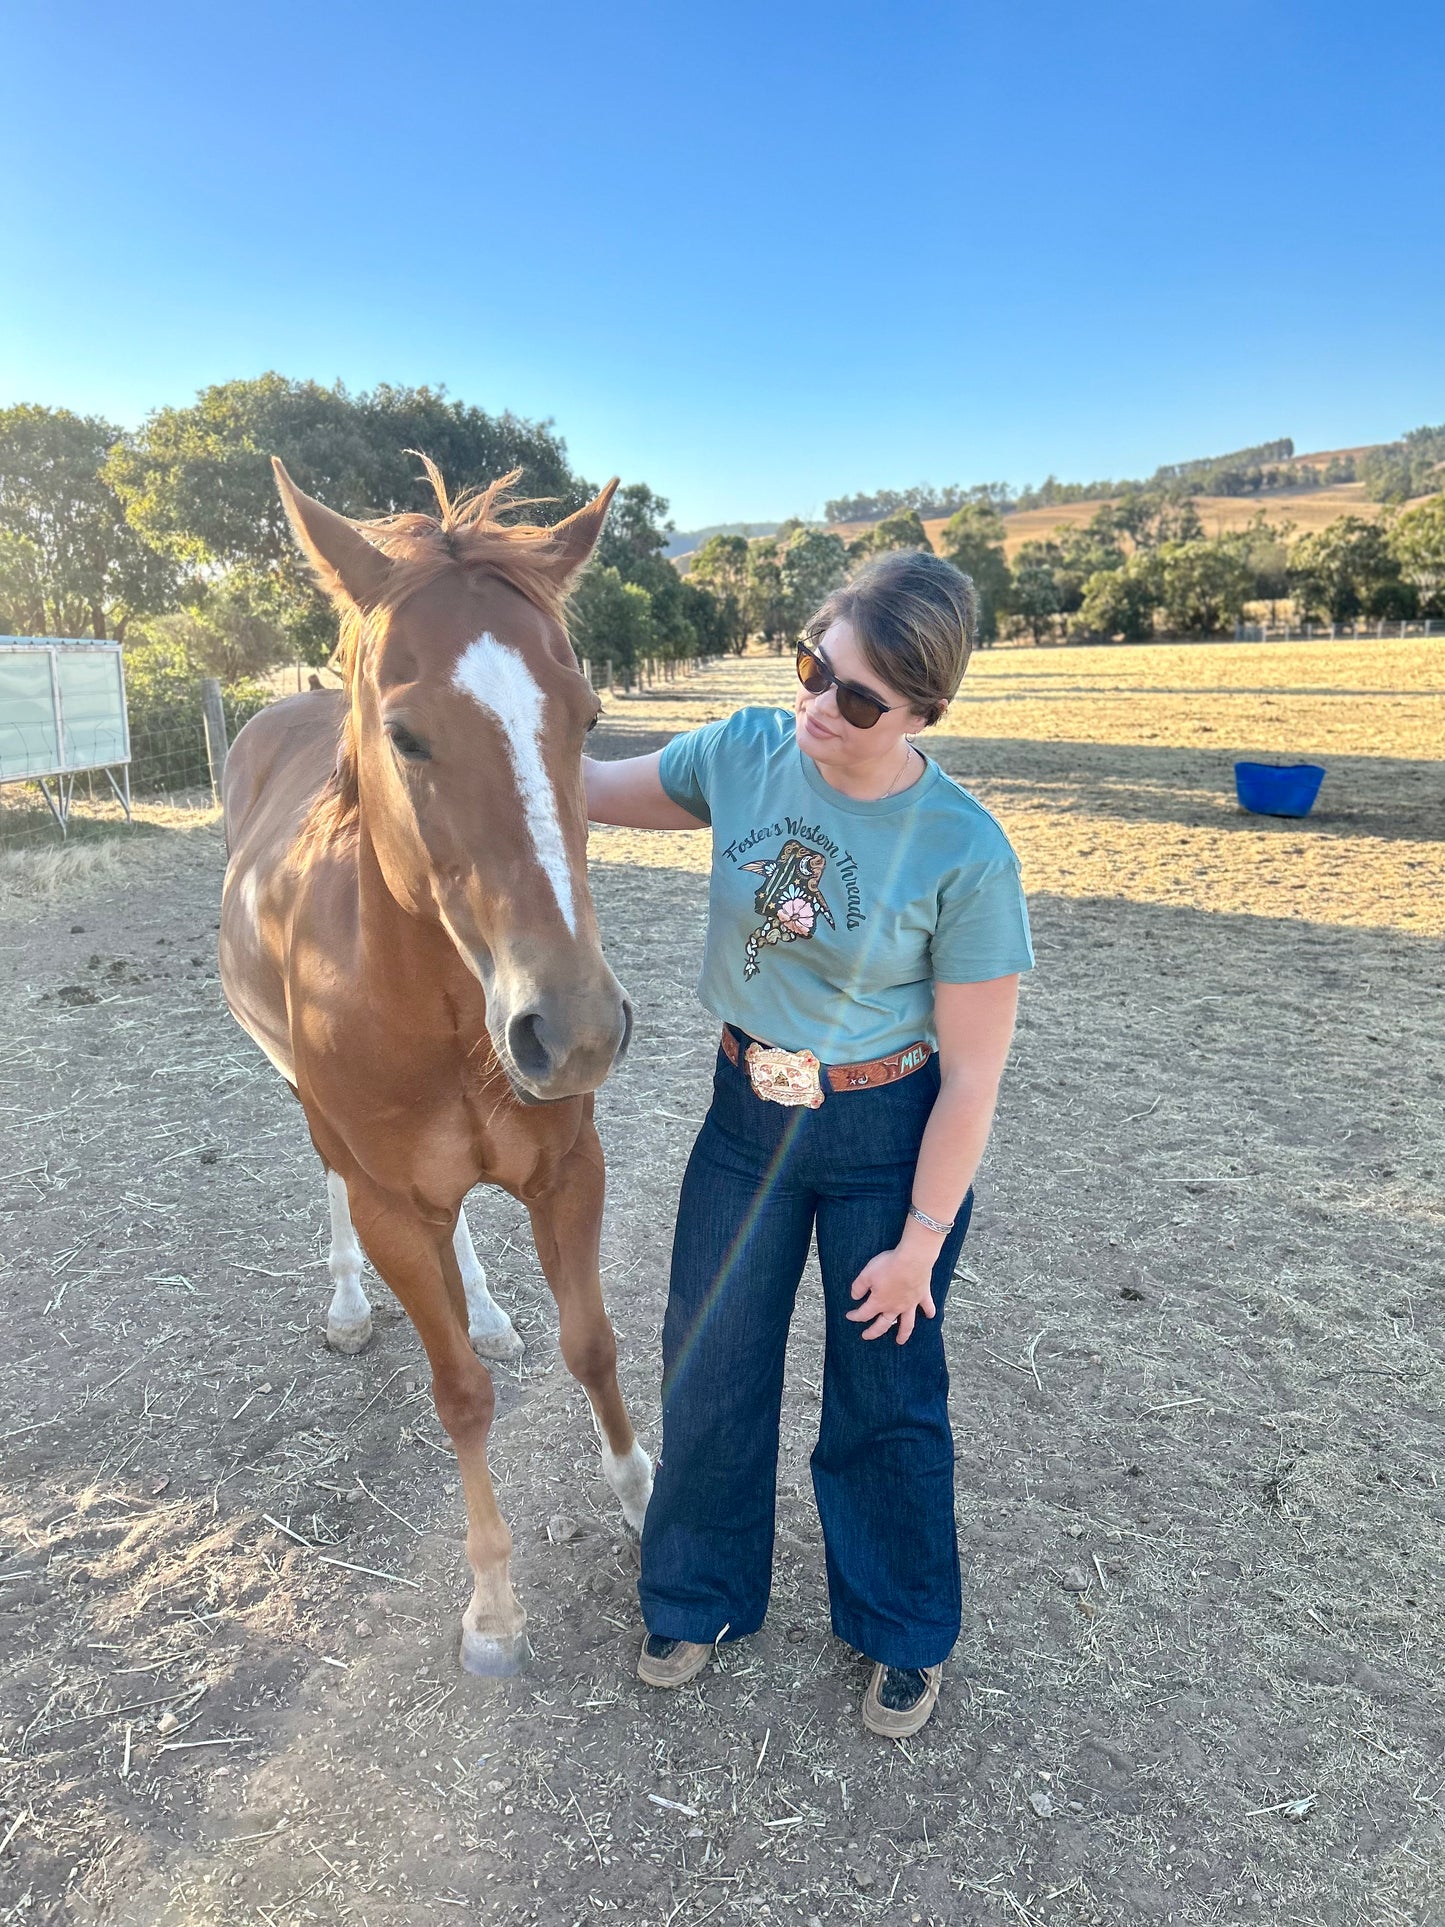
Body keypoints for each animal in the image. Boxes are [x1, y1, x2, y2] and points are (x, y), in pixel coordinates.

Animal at [220, 454, 655, 1672]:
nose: (575, 1026)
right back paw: (347, 1306)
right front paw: (494, 1602)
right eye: (406, 735)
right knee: (331, 1182)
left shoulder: (567, 1171)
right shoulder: (390, 1207)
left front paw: (640, 1492)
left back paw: (493, 1308)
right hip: (318, 1122)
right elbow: (457, 1392)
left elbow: (591, 1342)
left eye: (587, 717)